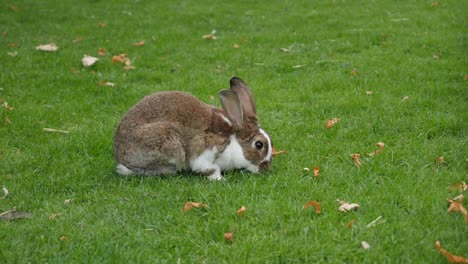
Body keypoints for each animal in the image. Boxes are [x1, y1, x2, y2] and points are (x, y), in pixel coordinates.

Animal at [113, 76, 272, 179]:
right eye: (259, 144)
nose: (266, 168)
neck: (233, 141)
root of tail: (120, 155)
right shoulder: (206, 151)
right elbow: (208, 168)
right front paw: (219, 178)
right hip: (169, 143)